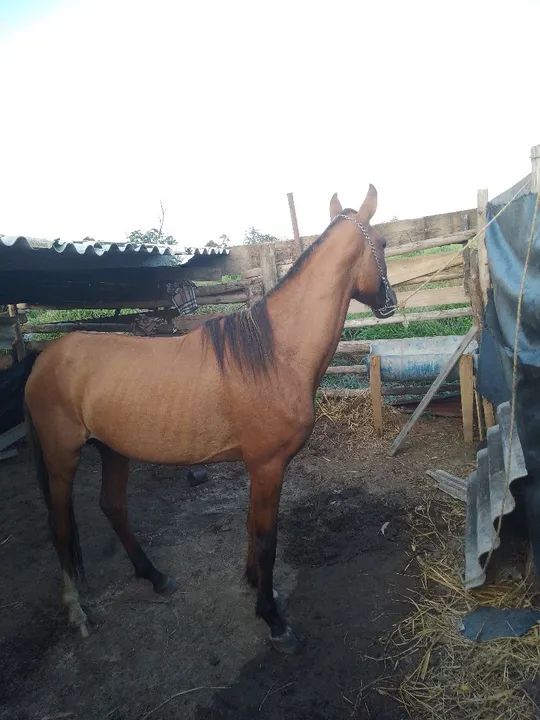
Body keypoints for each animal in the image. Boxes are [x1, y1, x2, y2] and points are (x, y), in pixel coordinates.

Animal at [24, 185, 396, 653]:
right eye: (382, 243)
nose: (389, 304)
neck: (276, 354)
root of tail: (43, 360)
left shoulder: (259, 468)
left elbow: (252, 529)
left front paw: (258, 587)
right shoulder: (268, 466)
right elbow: (266, 538)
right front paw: (273, 619)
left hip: (112, 450)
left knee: (112, 506)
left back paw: (155, 577)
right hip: (62, 457)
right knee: (59, 525)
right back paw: (78, 612)